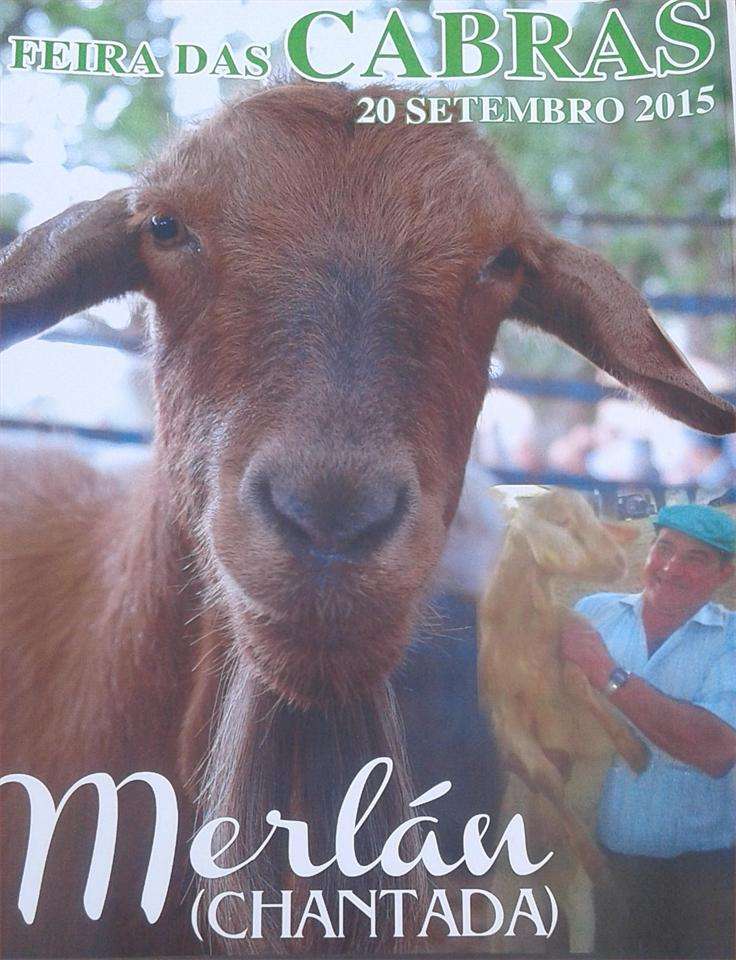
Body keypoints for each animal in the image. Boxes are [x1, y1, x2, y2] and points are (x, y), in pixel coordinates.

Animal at [477, 488, 646, 954]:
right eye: (562, 521)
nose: (619, 562)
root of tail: (546, 896)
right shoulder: (505, 712)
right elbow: (546, 778)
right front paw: (591, 856)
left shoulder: (572, 644)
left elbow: (580, 680)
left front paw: (634, 750)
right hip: (504, 906)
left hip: (581, 910)